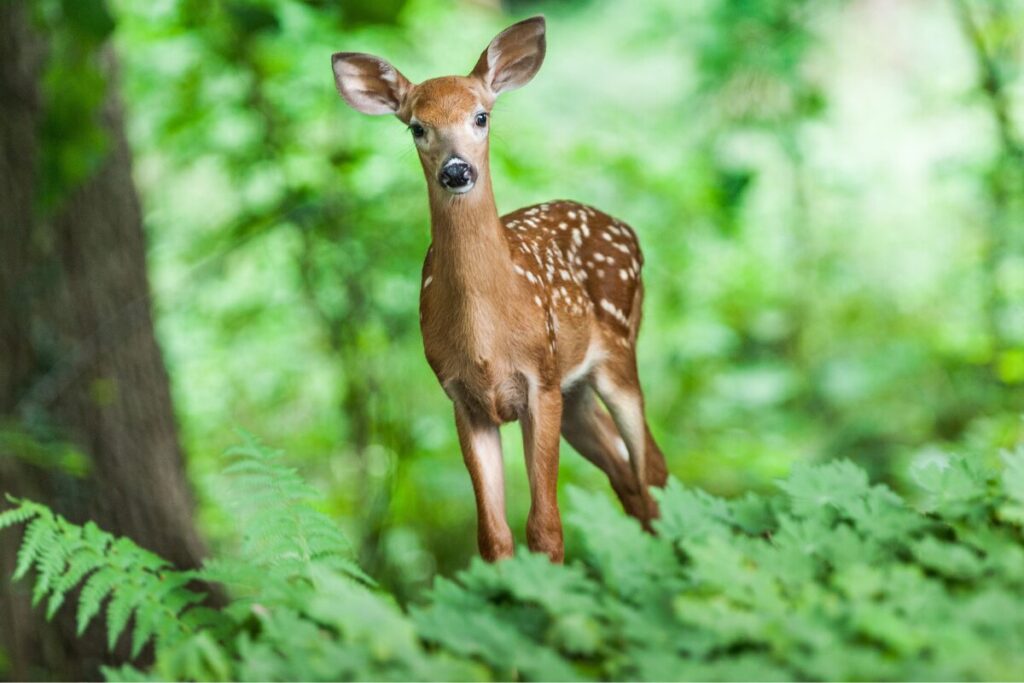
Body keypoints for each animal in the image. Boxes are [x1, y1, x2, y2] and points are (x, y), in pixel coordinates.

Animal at [331, 16, 668, 563]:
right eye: (416, 126)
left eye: (481, 116)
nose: (456, 170)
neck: (487, 338)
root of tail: (627, 230)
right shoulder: (462, 398)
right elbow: (493, 536)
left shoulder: (540, 381)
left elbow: (546, 528)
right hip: (575, 392)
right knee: (627, 476)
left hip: (617, 351)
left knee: (651, 467)